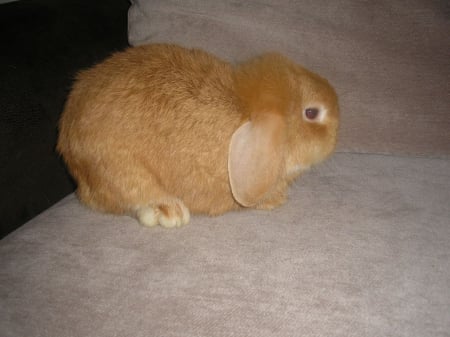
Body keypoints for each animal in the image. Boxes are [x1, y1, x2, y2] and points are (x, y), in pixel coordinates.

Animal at [57, 41, 338, 226]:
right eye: (311, 113)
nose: (337, 132)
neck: (245, 111)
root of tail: (68, 140)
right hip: (119, 166)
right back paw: (170, 211)